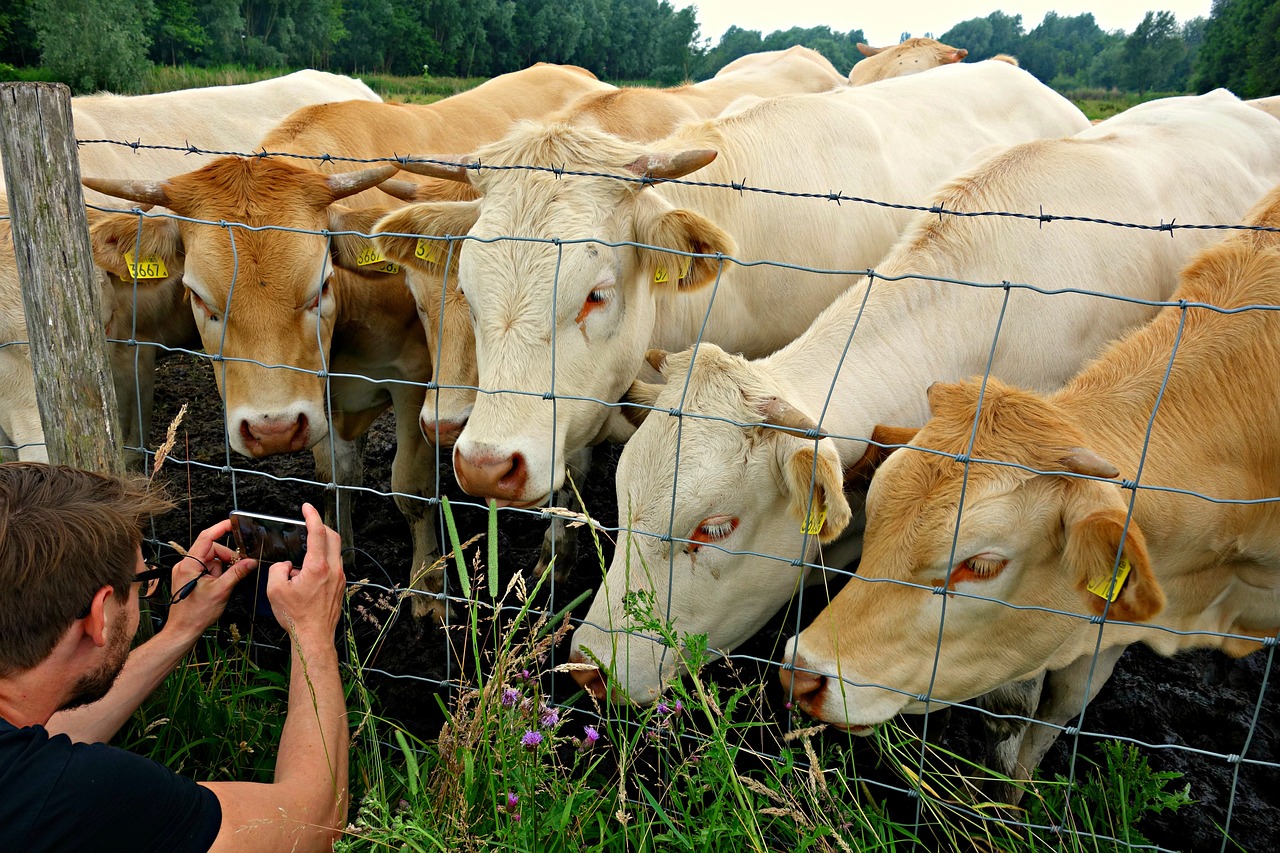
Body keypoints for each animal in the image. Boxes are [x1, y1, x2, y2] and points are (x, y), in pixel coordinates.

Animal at [80, 61, 614, 617]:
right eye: (198, 296)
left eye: (320, 286)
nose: (272, 430)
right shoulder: (320, 396)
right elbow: (335, 474)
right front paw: (340, 552)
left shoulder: (415, 382)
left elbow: (410, 488)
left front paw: (427, 587)